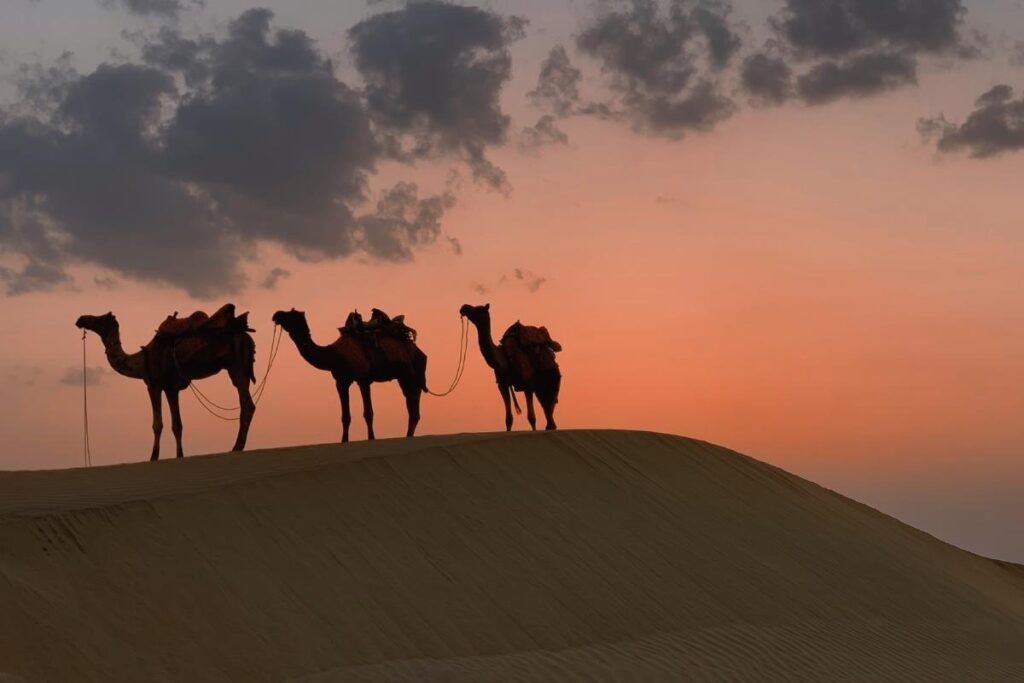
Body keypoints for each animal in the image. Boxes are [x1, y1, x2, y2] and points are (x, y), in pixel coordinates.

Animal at [75, 305, 256, 462]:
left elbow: (157, 424)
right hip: (240, 368)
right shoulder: (171, 389)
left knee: (247, 405)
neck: (141, 361)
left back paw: (237, 447)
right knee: (245, 402)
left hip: (237, 365)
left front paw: (153, 457)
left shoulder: (153, 385)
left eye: (100, 319)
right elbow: (177, 425)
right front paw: (179, 455)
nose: (80, 319)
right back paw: (238, 446)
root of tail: (246, 335)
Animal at [270, 309, 425, 444]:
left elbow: (368, 413)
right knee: (412, 408)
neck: (335, 356)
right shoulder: (341, 381)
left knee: (413, 406)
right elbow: (345, 417)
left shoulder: (363, 379)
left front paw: (371, 438)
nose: (276, 315)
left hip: (412, 375)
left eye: (291, 314)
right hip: (404, 377)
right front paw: (344, 441)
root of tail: (418, 350)